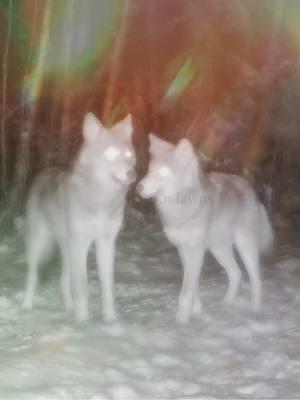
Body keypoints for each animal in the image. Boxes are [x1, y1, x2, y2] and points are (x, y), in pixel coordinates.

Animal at [22, 112, 135, 322]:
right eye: (110, 154)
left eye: (129, 156)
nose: (132, 174)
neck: (101, 201)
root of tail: (43, 172)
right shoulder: (81, 243)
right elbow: (82, 287)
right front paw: (83, 322)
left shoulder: (106, 243)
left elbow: (107, 287)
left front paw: (110, 320)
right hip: (40, 244)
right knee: (33, 275)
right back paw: (26, 306)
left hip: (68, 249)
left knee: (64, 280)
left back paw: (69, 308)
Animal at [137, 134, 274, 324]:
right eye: (150, 170)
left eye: (163, 172)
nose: (138, 187)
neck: (182, 206)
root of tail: (250, 190)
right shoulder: (183, 250)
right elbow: (193, 289)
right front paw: (197, 313)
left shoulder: (195, 250)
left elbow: (186, 293)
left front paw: (181, 323)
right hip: (219, 250)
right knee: (236, 274)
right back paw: (227, 305)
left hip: (245, 247)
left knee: (256, 281)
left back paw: (256, 311)